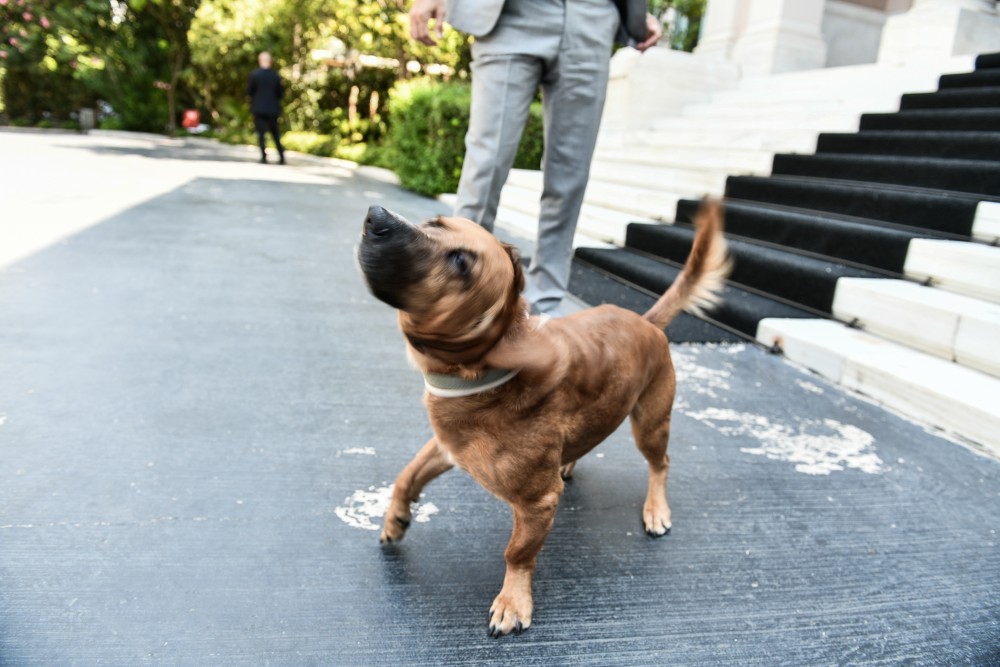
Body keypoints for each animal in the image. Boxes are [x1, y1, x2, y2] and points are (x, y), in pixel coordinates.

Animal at [358, 202, 728, 636]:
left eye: (461, 262)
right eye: (433, 222)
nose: (376, 215)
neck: (490, 372)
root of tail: (647, 322)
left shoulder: (537, 503)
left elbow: (517, 552)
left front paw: (513, 600)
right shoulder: (446, 447)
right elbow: (406, 476)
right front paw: (396, 518)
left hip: (650, 425)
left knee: (661, 464)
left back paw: (656, 508)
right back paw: (569, 462)